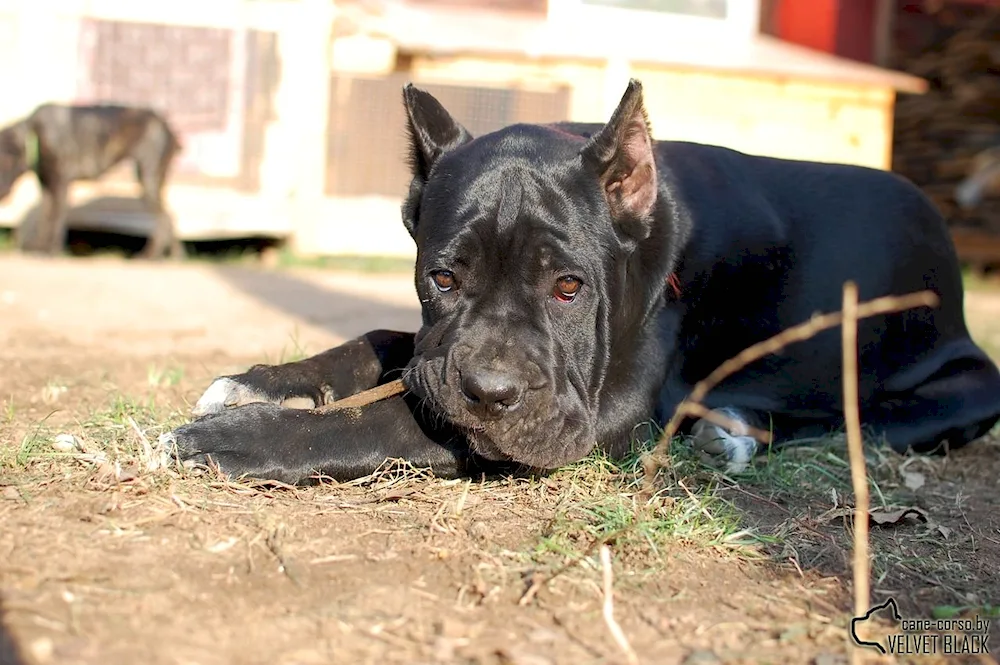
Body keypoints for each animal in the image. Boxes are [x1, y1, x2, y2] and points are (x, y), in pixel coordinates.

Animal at [0, 104, 184, 260]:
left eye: (6, 161)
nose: (2, 194)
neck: (36, 134)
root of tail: (167, 127)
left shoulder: (61, 182)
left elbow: (56, 217)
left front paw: (52, 250)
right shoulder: (47, 186)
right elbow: (44, 218)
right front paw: (39, 248)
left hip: (148, 177)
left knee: (163, 217)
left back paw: (151, 255)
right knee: (169, 216)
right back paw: (174, 255)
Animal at [164, 80, 1000, 482]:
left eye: (570, 287)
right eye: (442, 277)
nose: (492, 392)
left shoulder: (606, 408)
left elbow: (394, 418)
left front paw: (242, 438)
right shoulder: (436, 341)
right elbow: (381, 338)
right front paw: (263, 381)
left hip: (964, 386)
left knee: (854, 421)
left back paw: (730, 432)